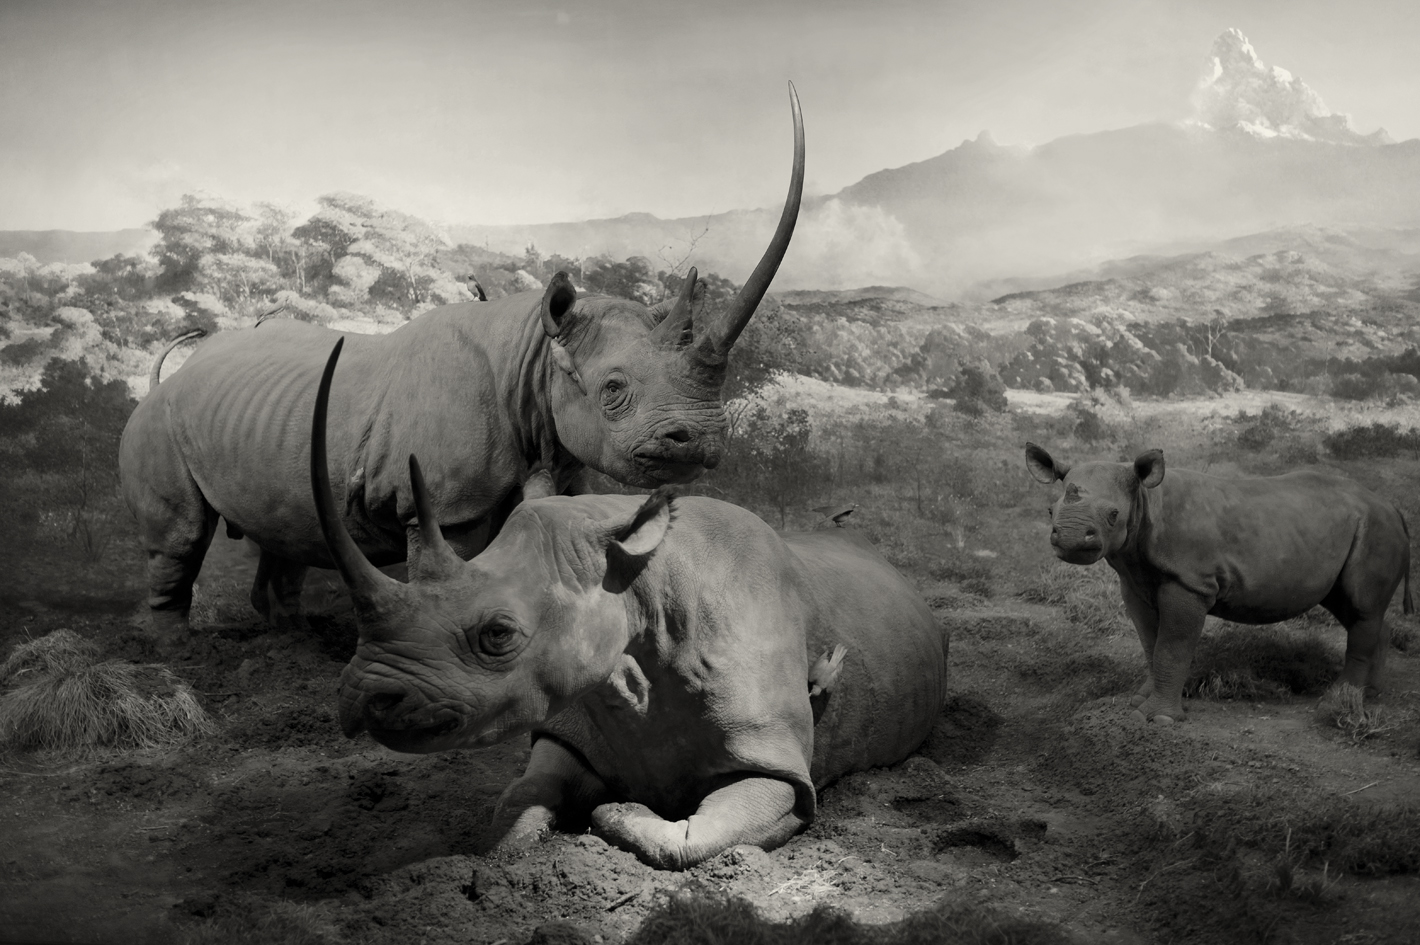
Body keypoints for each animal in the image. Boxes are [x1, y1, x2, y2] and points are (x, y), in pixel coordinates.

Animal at [120, 85, 805, 643]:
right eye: (613, 388)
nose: (702, 440)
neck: (535, 357)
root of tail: (165, 380)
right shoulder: (451, 505)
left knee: (285, 521)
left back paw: (291, 635)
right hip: (158, 421)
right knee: (182, 534)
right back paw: (174, 650)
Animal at [310, 343, 949, 869]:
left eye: (499, 634)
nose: (362, 699)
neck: (640, 591)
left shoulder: (779, 767)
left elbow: (698, 835)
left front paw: (614, 814)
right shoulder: (573, 719)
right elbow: (519, 802)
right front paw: (498, 854)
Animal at [1025, 443, 1414, 724]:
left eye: (1113, 515)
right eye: (1049, 512)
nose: (1071, 539)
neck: (1146, 499)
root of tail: (1393, 506)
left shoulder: (1190, 583)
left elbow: (1172, 646)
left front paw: (1159, 719)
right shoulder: (1135, 580)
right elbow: (1150, 642)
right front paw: (1138, 702)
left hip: (1375, 528)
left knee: (1361, 607)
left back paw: (1336, 703)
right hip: (1354, 527)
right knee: (1352, 607)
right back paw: (1369, 695)